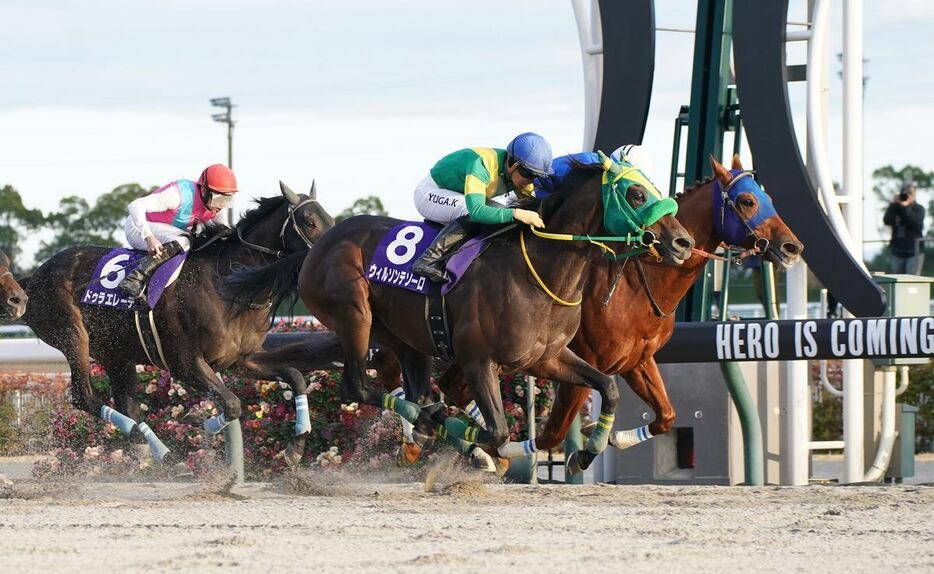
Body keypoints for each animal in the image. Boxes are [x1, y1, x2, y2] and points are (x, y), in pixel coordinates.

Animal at [21, 184, 336, 464]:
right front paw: (205, 425)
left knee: (128, 404)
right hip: (73, 336)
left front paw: (296, 447)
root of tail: (32, 279)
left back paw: (153, 450)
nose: (327, 256)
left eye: (331, 221)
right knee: (83, 397)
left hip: (116, 352)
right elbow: (233, 403)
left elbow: (295, 376)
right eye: (309, 222)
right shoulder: (185, 363)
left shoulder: (241, 359)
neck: (232, 287)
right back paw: (146, 441)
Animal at [225, 162, 696, 472]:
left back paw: (429, 423)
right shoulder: (478, 360)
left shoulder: (546, 358)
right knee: (359, 386)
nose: (683, 243)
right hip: (354, 316)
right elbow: (498, 430)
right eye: (636, 194)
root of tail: (316, 247)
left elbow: (608, 387)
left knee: (411, 388)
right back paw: (429, 423)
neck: (541, 270)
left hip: (403, 337)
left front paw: (587, 451)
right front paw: (490, 450)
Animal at [432, 155, 804, 474]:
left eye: (767, 197)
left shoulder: (636, 359)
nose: (792, 247)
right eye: (747, 201)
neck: (636, 284)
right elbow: (553, 434)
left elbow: (666, 415)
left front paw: (615, 437)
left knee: (452, 387)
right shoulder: (582, 359)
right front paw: (574, 452)